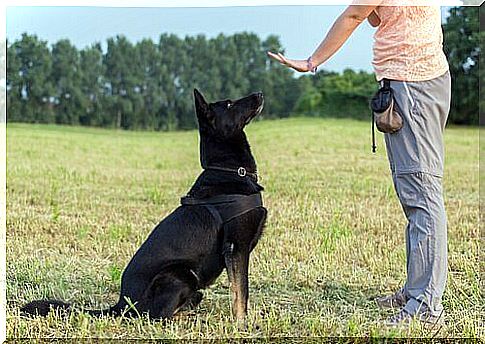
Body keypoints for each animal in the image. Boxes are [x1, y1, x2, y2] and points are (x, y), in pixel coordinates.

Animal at [20, 90, 266, 322]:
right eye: (229, 104)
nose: (260, 94)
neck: (229, 170)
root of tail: (122, 304)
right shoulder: (236, 248)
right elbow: (241, 292)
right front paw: (242, 325)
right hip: (181, 274)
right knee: (156, 315)